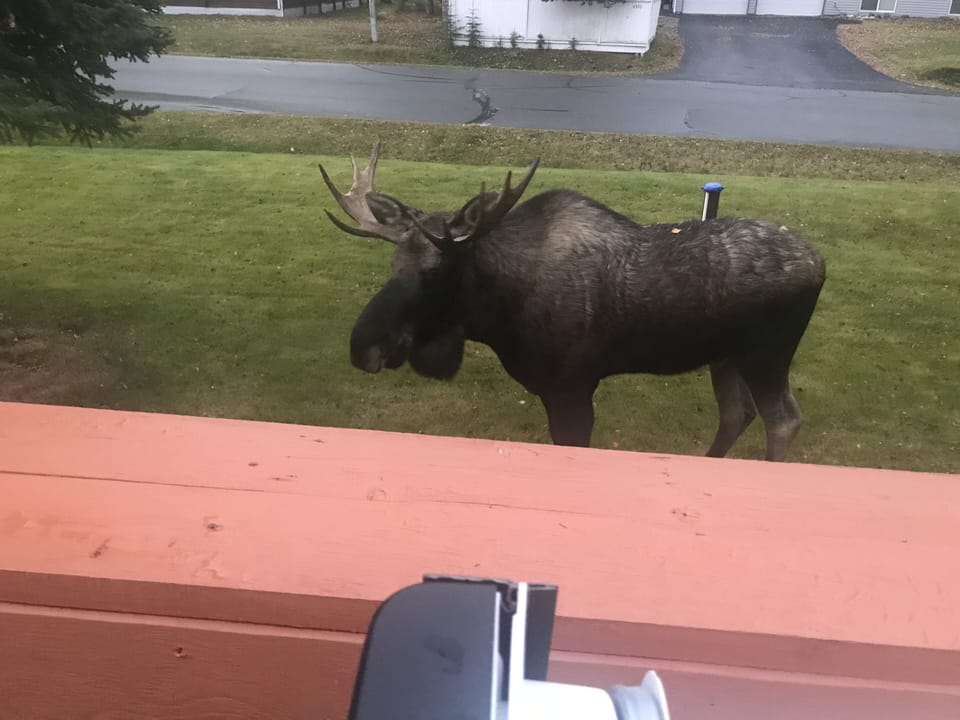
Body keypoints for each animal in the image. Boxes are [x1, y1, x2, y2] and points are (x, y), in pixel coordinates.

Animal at [317, 142, 827, 462]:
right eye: (393, 262)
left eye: (438, 270)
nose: (364, 346)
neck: (496, 315)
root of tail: (820, 262)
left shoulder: (571, 389)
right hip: (725, 356)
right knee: (737, 413)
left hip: (766, 357)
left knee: (783, 420)